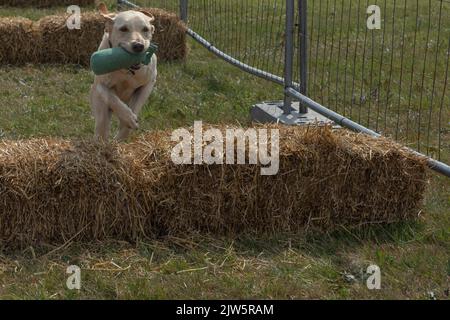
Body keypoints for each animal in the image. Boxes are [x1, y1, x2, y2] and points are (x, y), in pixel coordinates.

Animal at [89, 3, 157, 141]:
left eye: (145, 29)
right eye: (123, 29)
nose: (138, 46)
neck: (126, 70)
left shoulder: (149, 83)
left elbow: (135, 107)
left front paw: (129, 121)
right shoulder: (101, 85)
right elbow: (112, 99)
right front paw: (128, 118)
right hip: (99, 108)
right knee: (101, 127)